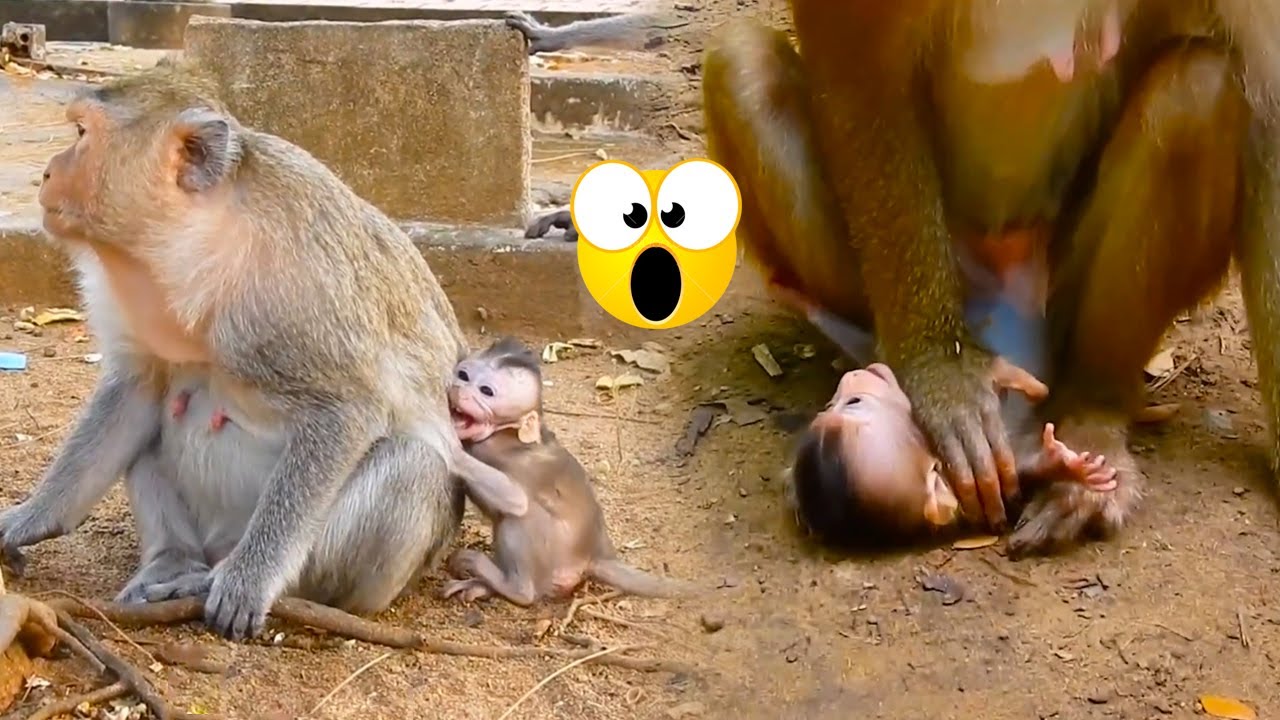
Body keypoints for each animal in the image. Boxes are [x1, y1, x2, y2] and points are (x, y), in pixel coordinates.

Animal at [0, 61, 476, 640]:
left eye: (81, 133)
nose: (47, 172)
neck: (200, 243)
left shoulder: (301, 286)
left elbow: (347, 408)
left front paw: (251, 579)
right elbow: (135, 390)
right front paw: (28, 519)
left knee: (413, 465)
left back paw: (224, 582)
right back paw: (173, 561)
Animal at [442, 337, 690, 606]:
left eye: (486, 391)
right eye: (463, 375)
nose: (458, 389)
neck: (504, 433)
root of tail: (594, 554)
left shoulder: (514, 460)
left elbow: (515, 499)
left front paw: (439, 439)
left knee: (522, 516)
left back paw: (516, 588)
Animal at [701, 1, 1277, 556]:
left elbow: (1266, 98)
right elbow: (852, 48)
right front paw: (942, 376)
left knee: (1195, 93)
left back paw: (1094, 413)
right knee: (745, 64)